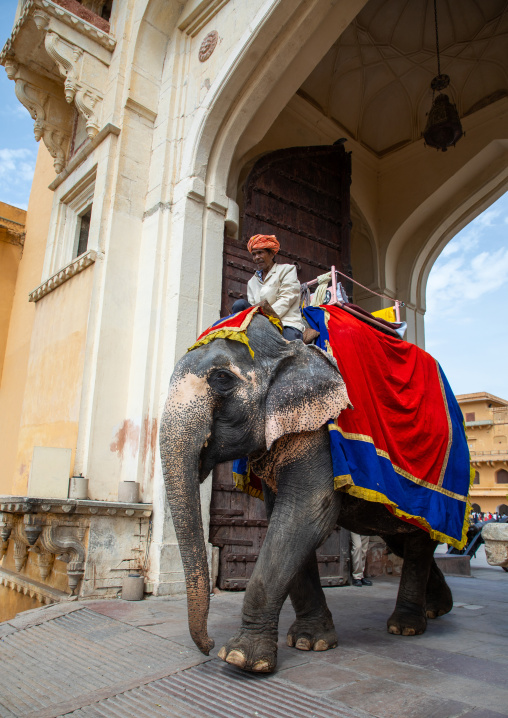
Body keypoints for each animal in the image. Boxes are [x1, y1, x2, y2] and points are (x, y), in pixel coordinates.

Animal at [160, 306, 453, 673]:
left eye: (222, 379)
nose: (207, 646)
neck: (288, 343)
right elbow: (284, 518)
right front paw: (310, 641)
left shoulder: (321, 430)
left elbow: (306, 514)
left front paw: (242, 659)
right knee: (404, 540)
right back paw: (437, 609)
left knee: (417, 543)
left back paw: (406, 626)